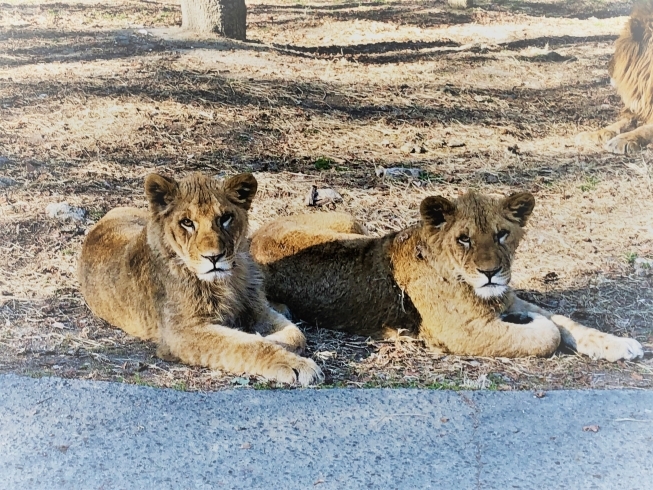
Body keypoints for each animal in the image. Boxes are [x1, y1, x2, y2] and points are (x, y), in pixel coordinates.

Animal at [77, 172, 322, 386]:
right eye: (187, 222)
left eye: (225, 218)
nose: (213, 257)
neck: (228, 281)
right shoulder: (183, 332)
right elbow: (247, 345)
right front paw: (294, 363)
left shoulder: (257, 309)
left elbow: (296, 335)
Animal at [251, 189, 640, 362]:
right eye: (463, 239)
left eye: (502, 234)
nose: (491, 273)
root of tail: (255, 234)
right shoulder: (459, 332)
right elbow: (548, 334)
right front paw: (528, 323)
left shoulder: (509, 297)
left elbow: (568, 323)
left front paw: (620, 344)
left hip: (352, 222)